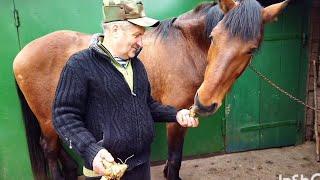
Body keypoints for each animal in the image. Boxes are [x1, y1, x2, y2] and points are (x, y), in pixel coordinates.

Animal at [12, 0, 288, 179]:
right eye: (213, 37)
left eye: (251, 49)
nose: (204, 102)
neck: (185, 45)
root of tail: (21, 54)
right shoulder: (176, 119)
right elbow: (175, 160)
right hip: (47, 118)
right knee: (50, 148)